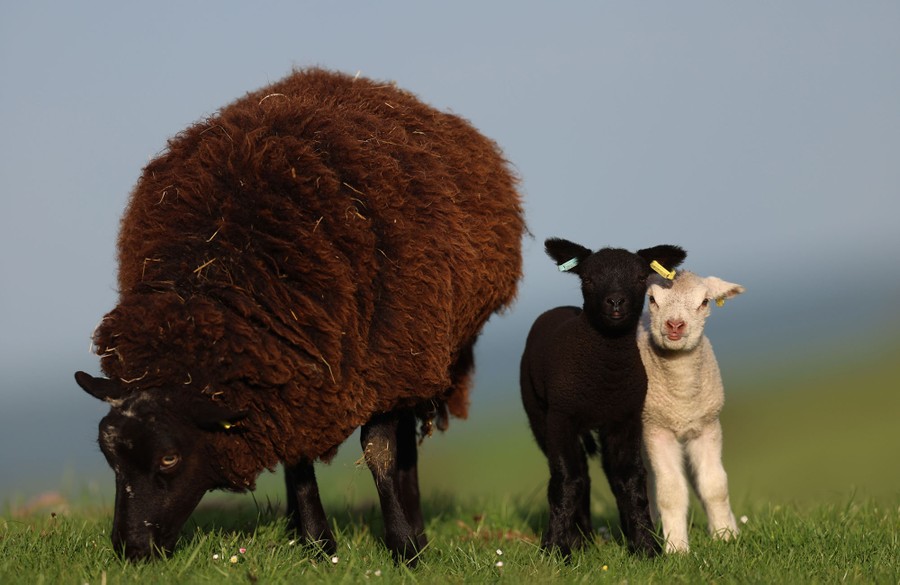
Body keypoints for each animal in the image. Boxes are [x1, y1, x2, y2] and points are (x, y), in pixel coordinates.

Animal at [73, 67, 524, 563]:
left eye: (169, 458)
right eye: (110, 458)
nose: (131, 549)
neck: (215, 280)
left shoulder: (383, 361)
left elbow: (380, 453)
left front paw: (405, 549)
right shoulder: (290, 374)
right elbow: (297, 457)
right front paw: (317, 544)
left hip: (414, 352)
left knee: (404, 444)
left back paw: (416, 530)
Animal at [520, 238, 686, 558]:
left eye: (640, 278)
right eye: (588, 279)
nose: (616, 302)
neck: (604, 380)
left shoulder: (626, 417)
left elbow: (630, 478)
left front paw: (646, 546)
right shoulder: (561, 416)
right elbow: (566, 480)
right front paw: (556, 548)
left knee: (605, 472)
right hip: (538, 413)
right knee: (580, 474)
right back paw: (580, 538)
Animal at [638, 271, 745, 553]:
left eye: (705, 302)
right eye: (652, 299)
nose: (675, 325)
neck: (681, 397)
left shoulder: (707, 426)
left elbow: (714, 484)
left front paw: (725, 535)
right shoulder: (656, 429)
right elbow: (671, 492)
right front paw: (676, 547)